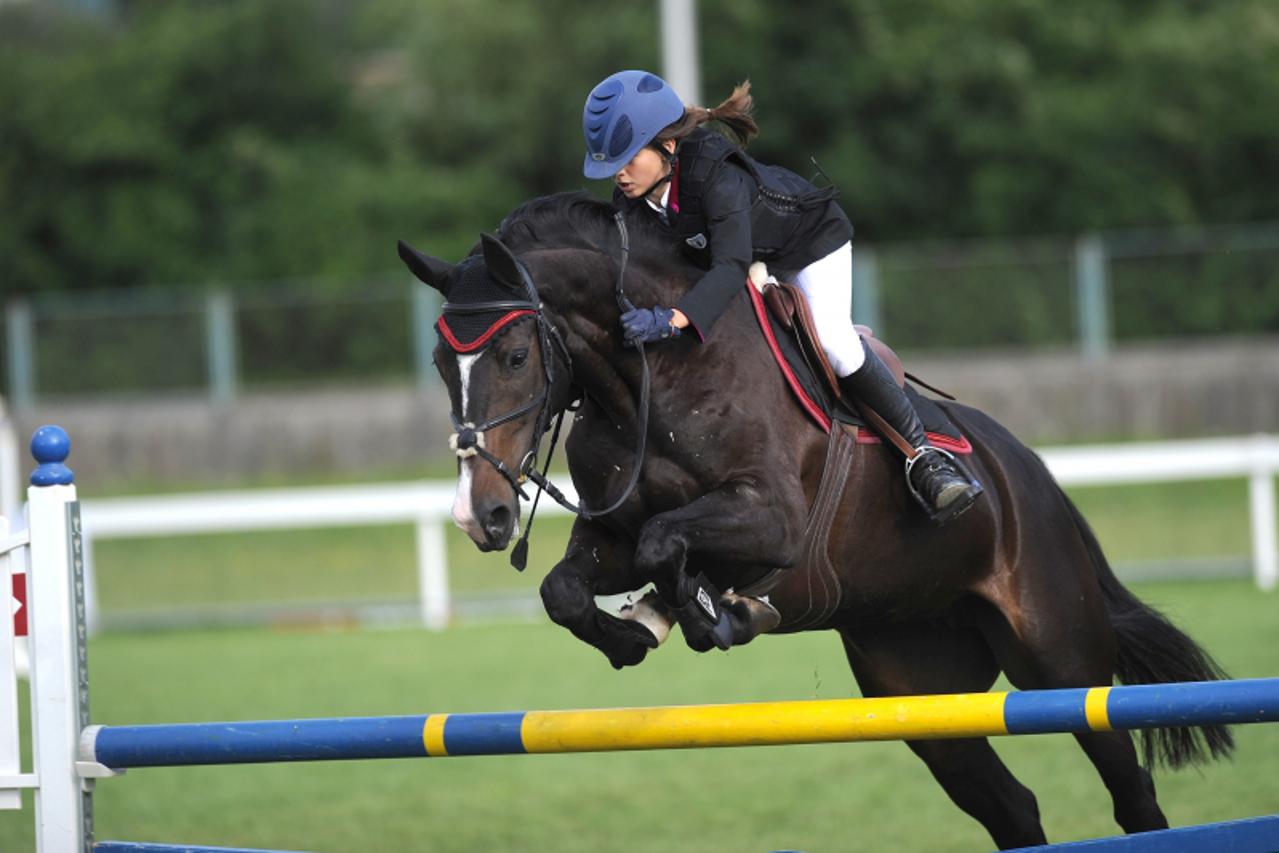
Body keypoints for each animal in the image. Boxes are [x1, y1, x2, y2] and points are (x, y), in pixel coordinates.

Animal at [396, 190, 1227, 849]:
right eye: (439, 363)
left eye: (512, 355)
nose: (481, 515)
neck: (649, 376)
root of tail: (1033, 476)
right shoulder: (611, 534)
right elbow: (567, 587)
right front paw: (636, 630)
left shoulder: (772, 520)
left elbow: (671, 543)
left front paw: (711, 612)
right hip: (921, 690)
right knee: (1012, 807)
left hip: (1060, 660)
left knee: (1129, 787)